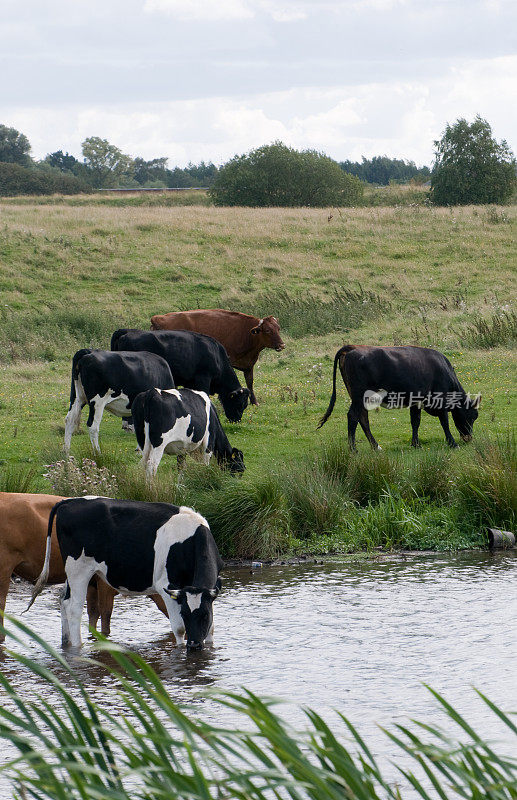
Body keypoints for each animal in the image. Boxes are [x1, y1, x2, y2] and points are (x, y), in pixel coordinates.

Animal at [28, 496, 222, 652]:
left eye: (205, 615)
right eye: (184, 614)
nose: (194, 645)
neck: (189, 539)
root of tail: (70, 500)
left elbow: (211, 629)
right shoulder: (166, 586)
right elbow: (179, 629)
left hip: (72, 572)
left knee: (64, 601)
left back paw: (66, 643)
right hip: (78, 569)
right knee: (74, 608)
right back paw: (78, 647)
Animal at [111, 328, 250, 422]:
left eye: (245, 405)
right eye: (240, 404)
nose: (237, 420)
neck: (217, 356)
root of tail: (128, 332)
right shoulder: (203, 378)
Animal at [149, 308, 286, 406]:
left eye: (278, 328)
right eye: (267, 330)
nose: (282, 345)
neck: (246, 333)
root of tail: (157, 318)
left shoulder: (248, 365)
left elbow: (250, 382)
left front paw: (254, 402)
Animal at [316, 344, 482, 450]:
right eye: (473, 416)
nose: (468, 438)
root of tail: (353, 348)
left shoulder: (416, 402)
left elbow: (415, 421)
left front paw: (416, 444)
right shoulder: (440, 400)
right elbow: (445, 422)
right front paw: (453, 443)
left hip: (361, 397)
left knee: (362, 418)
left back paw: (375, 446)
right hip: (359, 395)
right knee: (353, 416)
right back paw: (353, 449)